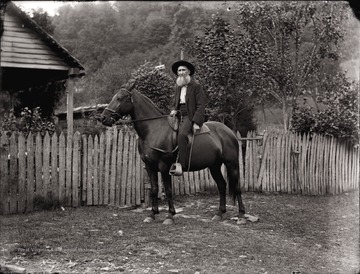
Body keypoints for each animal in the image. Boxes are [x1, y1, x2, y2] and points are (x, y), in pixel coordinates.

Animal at [101, 83, 248, 225]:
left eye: (120, 98)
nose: (103, 117)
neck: (154, 130)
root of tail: (229, 131)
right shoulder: (150, 167)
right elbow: (154, 189)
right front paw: (152, 214)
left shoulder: (164, 166)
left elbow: (168, 190)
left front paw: (170, 216)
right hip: (214, 166)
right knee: (222, 185)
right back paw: (219, 213)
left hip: (232, 164)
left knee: (236, 187)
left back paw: (241, 215)